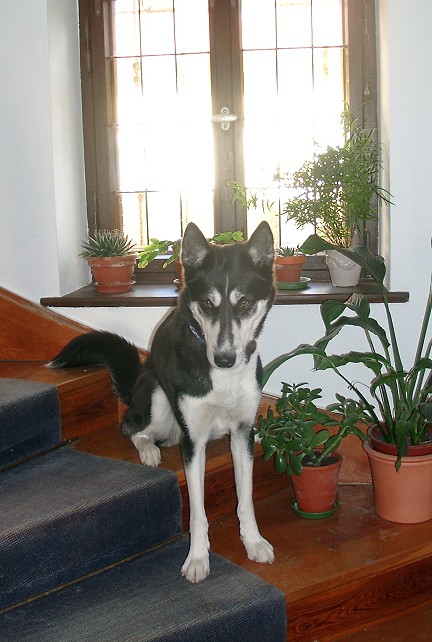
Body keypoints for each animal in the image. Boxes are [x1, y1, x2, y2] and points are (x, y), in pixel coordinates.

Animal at [50, 221, 276, 583]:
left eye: (245, 303)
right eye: (207, 304)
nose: (225, 359)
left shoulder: (242, 431)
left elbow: (245, 499)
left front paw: (253, 541)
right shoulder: (193, 441)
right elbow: (197, 512)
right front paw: (197, 558)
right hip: (156, 398)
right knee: (134, 429)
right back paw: (149, 451)